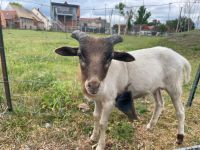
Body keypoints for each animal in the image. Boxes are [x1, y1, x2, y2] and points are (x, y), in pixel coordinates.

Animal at [54, 30, 191, 150]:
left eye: (110, 57)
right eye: (80, 55)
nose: (93, 85)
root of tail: (180, 57)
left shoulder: (109, 101)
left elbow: (103, 122)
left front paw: (100, 145)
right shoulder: (97, 100)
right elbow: (95, 116)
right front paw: (93, 137)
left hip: (174, 87)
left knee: (180, 111)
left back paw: (180, 137)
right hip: (155, 87)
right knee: (159, 104)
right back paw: (150, 126)